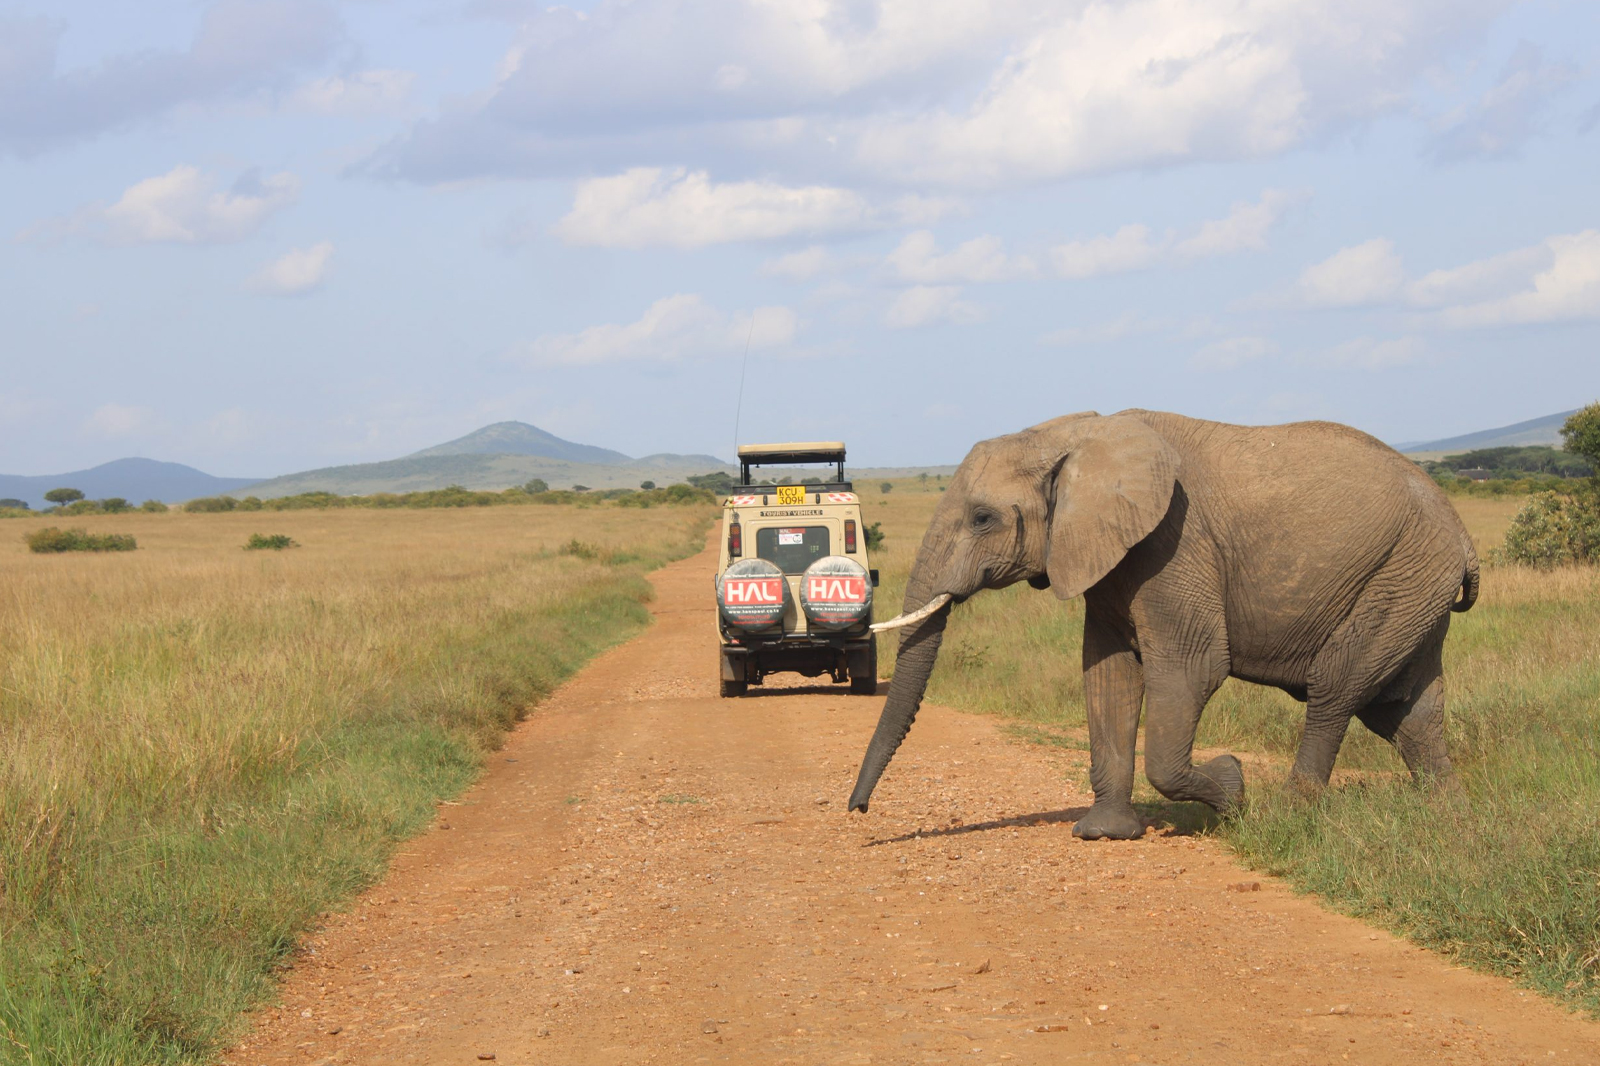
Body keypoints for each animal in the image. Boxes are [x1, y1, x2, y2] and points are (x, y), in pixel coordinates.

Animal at [844, 409, 1478, 832]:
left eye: (981, 518)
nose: (858, 810)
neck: (1072, 436)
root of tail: (1463, 535)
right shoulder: (1107, 555)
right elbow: (1107, 673)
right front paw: (1104, 833)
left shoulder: (1175, 542)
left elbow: (1193, 669)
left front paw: (1234, 789)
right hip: (1414, 580)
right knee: (1407, 711)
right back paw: (1445, 812)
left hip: (1404, 569)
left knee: (1337, 689)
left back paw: (1295, 811)